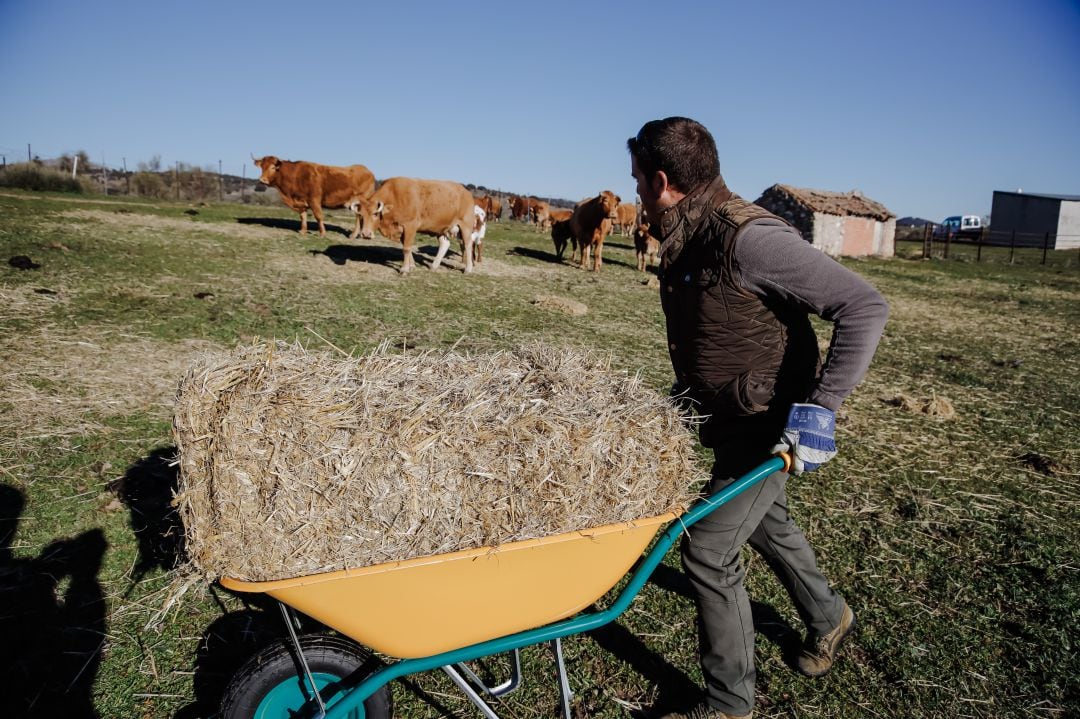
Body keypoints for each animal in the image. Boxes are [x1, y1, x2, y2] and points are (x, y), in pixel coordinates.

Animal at [349, 175, 477, 272]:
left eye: (375, 214)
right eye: (361, 215)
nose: (366, 234)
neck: (395, 196)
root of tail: (466, 192)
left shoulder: (410, 226)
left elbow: (406, 248)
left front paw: (405, 269)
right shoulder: (402, 229)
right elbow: (408, 247)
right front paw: (411, 265)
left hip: (466, 226)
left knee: (468, 245)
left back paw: (468, 269)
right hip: (440, 228)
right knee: (445, 244)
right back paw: (434, 266)